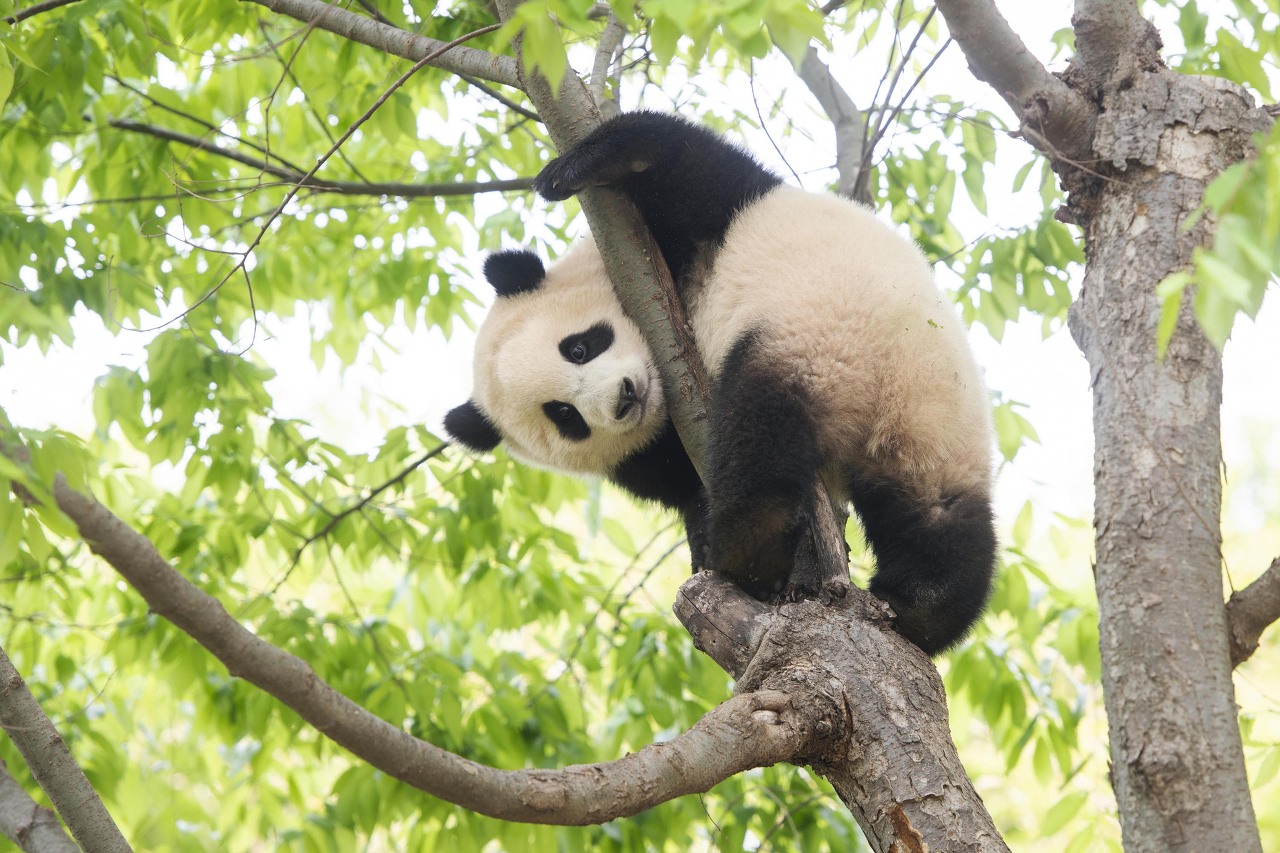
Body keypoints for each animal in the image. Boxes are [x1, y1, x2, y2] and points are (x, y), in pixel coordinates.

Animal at [450, 109, 998, 648]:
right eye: (564, 415)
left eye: (579, 347)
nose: (624, 399)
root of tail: (868, 400)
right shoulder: (650, 450)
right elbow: (683, 482)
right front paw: (698, 535)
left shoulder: (692, 226)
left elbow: (685, 165)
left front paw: (572, 168)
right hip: (915, 416)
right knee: (934, 513)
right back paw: (918, 600)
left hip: (832, 350)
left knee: (757, 436)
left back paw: (753, 553)